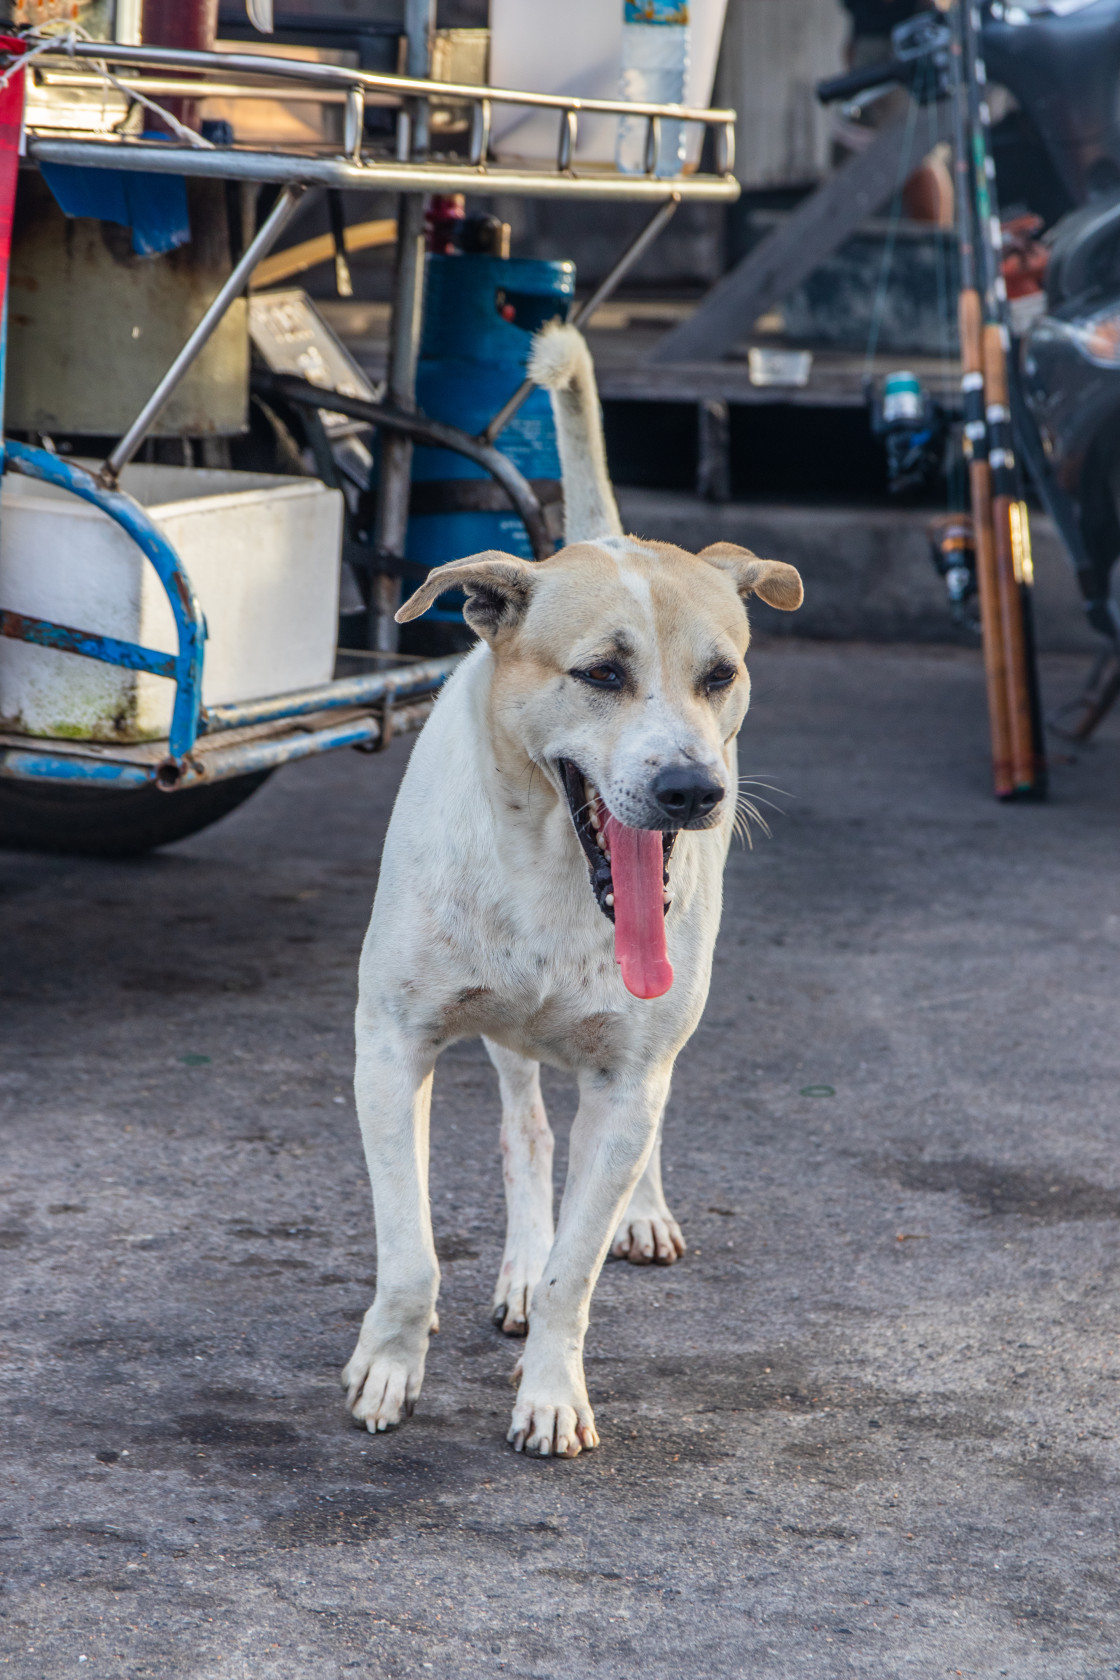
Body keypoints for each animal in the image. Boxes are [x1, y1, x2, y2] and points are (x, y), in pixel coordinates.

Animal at [345, 320, 802, 1451]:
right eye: (600, 673)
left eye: (719, 675)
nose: (692, 792)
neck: (554, 871)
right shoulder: (391, 1046)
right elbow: (412, 1251)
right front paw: (389, 1368)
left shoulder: (630, 1073)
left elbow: (575, 1273)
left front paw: (552, 1393)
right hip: (500, 1036)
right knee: (525, 1125)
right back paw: (514, 1255)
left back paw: (637, 1210)